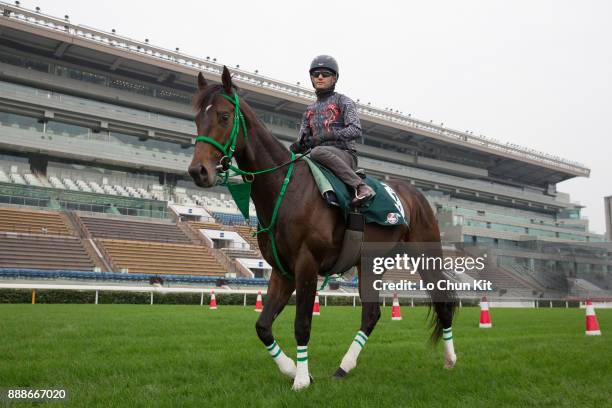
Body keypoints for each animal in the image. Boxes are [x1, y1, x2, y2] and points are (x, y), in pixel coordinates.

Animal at [189, 67, 456, 392]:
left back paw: (450, 359)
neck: (286, 189)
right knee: (371, 314)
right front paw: (291, 368)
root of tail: (416, 194)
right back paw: (344, 367)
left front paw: (302, 380)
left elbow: (302, 324)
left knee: (443, 302)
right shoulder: (282, 270)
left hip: (426, 255)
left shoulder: (307, 264)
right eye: (197, 118)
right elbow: (262, 326)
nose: (198, 171)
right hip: (371, 263)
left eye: (225, 116)